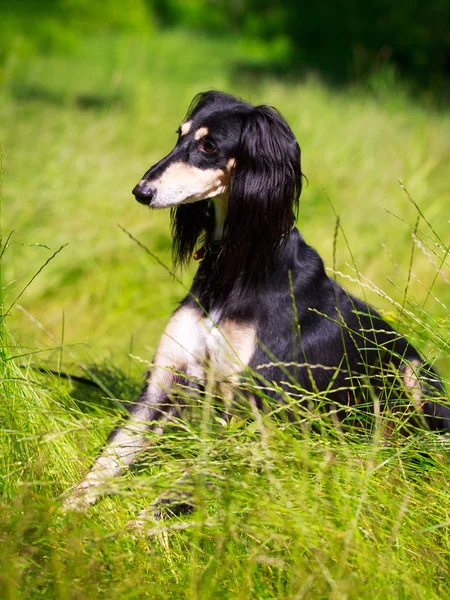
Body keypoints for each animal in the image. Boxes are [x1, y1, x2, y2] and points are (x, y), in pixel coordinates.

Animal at [65, 89, 448, 510]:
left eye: (209, 146)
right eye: (179, 135)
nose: (141, 191)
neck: (235, 264)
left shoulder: (249, 408)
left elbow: (185, 486)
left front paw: (144, 522)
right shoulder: (164, 382)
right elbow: (109, 458)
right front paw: (59, 513)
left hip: (414, 375)